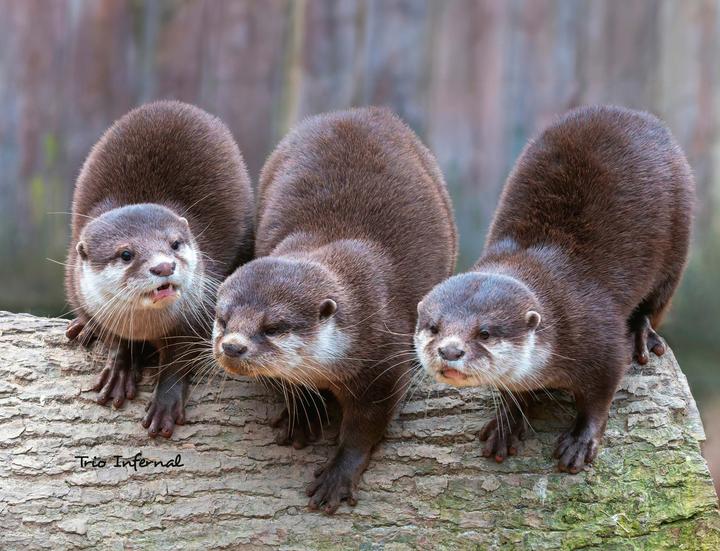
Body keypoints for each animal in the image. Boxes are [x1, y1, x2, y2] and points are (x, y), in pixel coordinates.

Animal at [65, 100, 254, 437]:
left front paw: (164, 403)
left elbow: (180, 359)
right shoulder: (81, 295)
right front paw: (120, 369)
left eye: (175, 244)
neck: (148, 328)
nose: (164, 266)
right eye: (126, 254)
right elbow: (116, 340)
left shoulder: (200, 314)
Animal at [212, 107, 457, 513]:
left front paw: (338, 475)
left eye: (273, 326)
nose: (232, 346)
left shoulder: (384, 364)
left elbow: (365, 426)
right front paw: (303, 416)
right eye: (222, 319)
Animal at [415, 105, 694, 473]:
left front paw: (580, 442)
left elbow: (600, 396)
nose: (449, 351)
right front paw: (507, 423)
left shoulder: (601, 338)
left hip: (678, 237)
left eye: (485, 333)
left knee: (657, 301)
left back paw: (641, 333)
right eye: (434, 328)